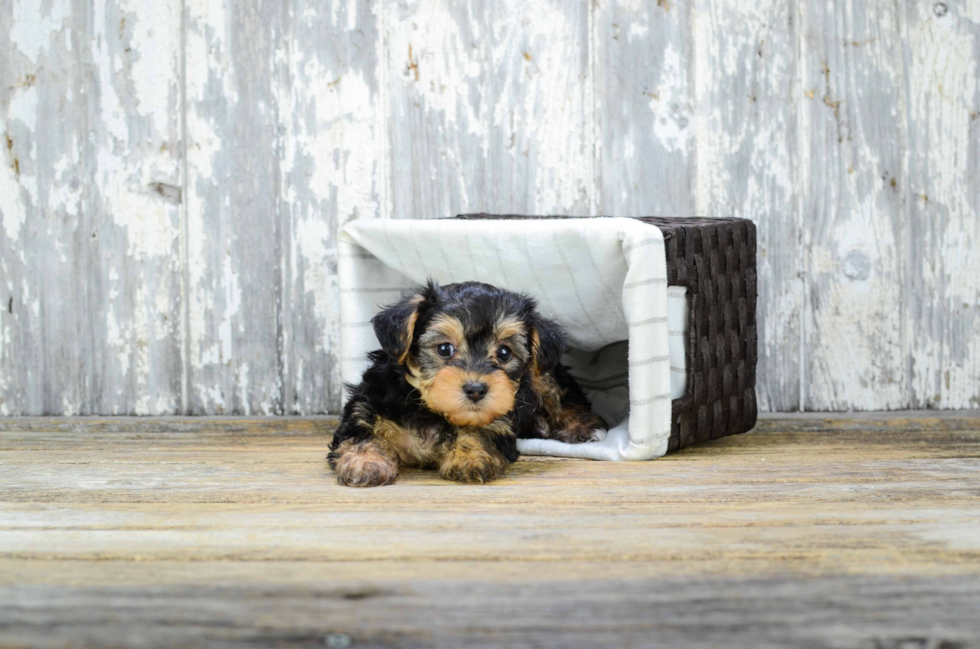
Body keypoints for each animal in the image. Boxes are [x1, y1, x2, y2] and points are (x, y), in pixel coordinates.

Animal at [330, 280, 604, 486]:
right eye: (444, 348)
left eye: (504, 353)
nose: (476, 389)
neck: (430, 411)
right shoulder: (367, 404)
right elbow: (360, 434)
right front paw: (365, 463)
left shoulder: (501, 420)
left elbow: (479, 431)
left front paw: (471, 456)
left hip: (542, 374)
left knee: (563, 395)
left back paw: (582, 428)